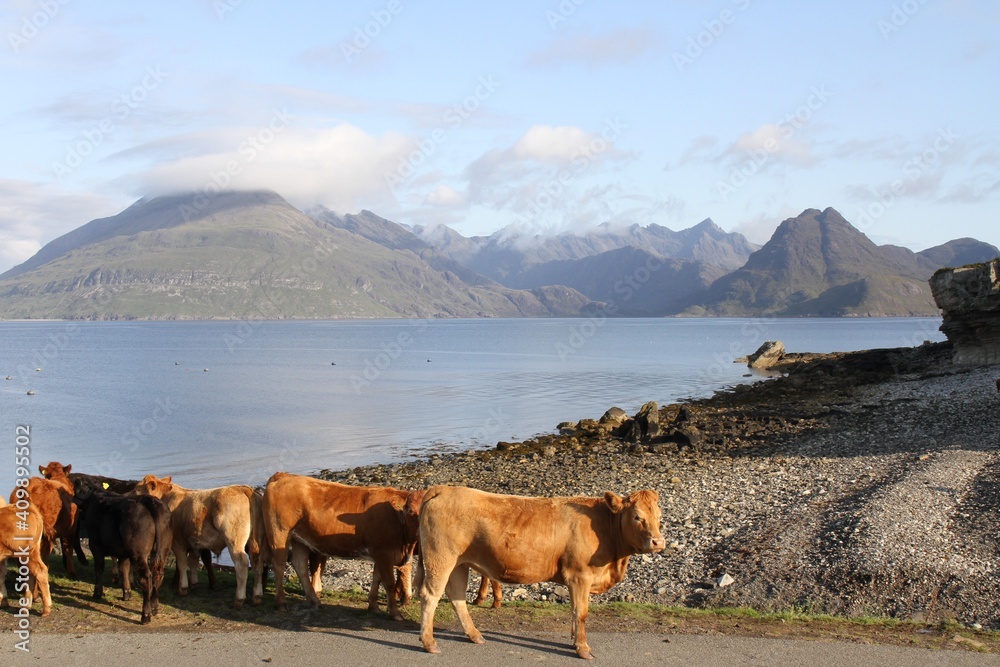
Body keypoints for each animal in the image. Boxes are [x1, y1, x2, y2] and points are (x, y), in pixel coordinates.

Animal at [72, 486, 171, 624]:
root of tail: (147, 500)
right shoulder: (123, 551)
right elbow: (124, 567)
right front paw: (127, 592)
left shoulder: (95, 544)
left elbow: (99, 568)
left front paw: (98, 593)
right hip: (162, 551)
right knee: (158, 574)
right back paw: (154, 607)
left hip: (139, 553)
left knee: (146, 577)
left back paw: (145, 615)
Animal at [135, 475, 266, 609]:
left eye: (137, 489)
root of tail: (243, 488)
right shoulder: (194, 541)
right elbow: (193, 561)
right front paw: (194, 584)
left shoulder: (178, 542)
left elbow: (182, 564)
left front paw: (182, 588)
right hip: (256, 542)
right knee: (257, 563)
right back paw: (257, 596)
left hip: (234, 542)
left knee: (242, 564)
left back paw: (239, 599)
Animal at [261, 472, 423, 620]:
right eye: (410, 511)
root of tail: (284, 475)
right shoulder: (384, 554)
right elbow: (388, 583)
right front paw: (396, 613)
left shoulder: (381, 554)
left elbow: (377, 579)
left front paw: (373, 607)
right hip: (279, 533)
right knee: (279, 565)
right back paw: (281, 603)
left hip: (299, 540)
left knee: (299, 565)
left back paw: (315, 601)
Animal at [417, 486, 665, 659]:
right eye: (637, 516)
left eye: (659, 516)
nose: (658, 542)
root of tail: (443, 488)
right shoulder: (579, 575)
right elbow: (581, 613)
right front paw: (583, 648)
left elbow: (574, 611)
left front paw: (574, 641)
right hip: (441, 559)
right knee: (430, 595)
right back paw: (429, 642)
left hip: (459, 563)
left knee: (457, 597)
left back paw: (475, 635)